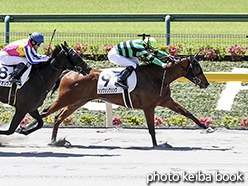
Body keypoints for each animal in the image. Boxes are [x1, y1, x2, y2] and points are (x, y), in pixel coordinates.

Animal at [21, 52, 215, 147]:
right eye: (197, 67)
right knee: (46, 112)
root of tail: (69, 71)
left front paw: (206, 127)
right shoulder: (149, 107)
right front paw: (156, 145)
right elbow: (151, 128)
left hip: (77, 101)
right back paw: (24, 129)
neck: (159, 76)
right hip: (65, 98)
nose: (206, 83)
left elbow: (187, 113)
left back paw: (55, 141)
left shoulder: (165, 100)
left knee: (57, 117)